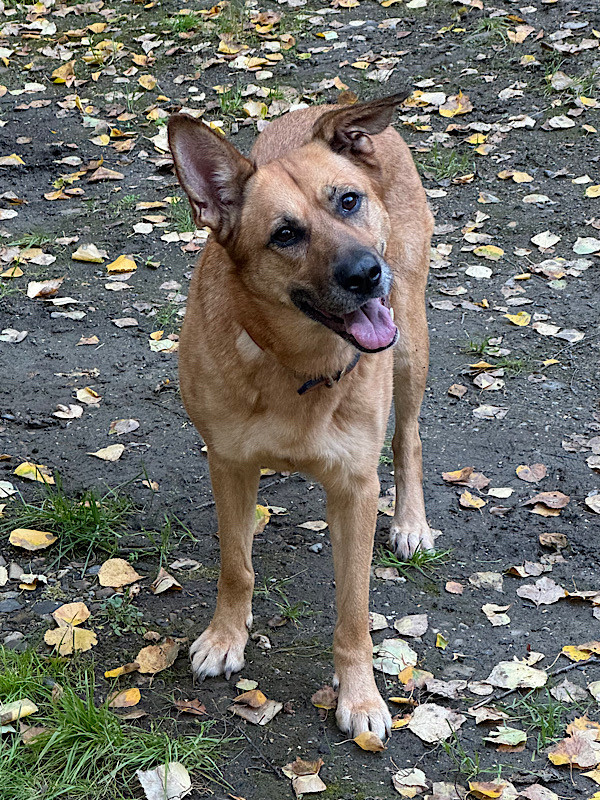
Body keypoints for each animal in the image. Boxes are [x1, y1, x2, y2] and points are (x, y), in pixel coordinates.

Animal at [166, 95, 434, 736]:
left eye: (348, 201)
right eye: (285, 235)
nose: (366, 274)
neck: (296, 364)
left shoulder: (356, 488)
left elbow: (354, 610)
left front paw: (359, 696)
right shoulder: (229, 465)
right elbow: (236, 565)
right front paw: (226, 636)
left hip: (410, 342)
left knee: (408, 436)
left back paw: (410, 520)